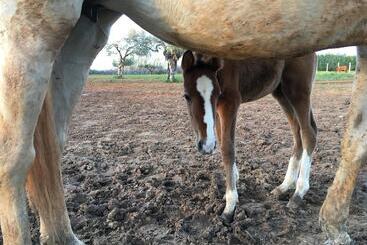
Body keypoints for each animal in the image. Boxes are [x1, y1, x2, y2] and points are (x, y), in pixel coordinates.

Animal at [183, 50, 318, 224]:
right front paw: (233, 182)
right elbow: (223, 141)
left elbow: (227, 148)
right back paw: (284, 186)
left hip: (298, 90)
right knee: (297, 131)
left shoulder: (230, 101)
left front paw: (230, 205)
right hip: (281, 92)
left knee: (308, 133)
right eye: (186, 96)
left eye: (216, 94)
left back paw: (298, 193)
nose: (205, 146)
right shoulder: (220, 107)